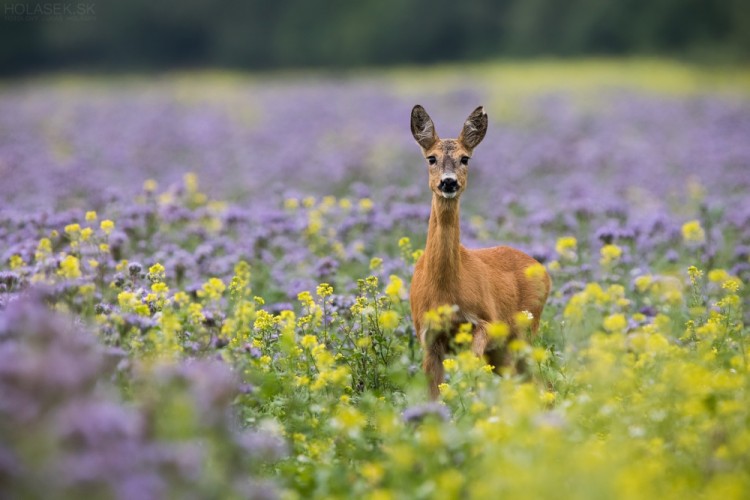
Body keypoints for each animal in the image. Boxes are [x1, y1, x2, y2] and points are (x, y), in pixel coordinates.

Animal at [412, 104, 552, 398]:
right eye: (431, 158)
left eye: (465, 158)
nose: (449, 182)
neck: (444, 292)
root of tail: (543, 271)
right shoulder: (426, 336)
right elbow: (432, 396)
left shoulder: (485, 322)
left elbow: (471, 369)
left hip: (525, 329)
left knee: (541, 382)